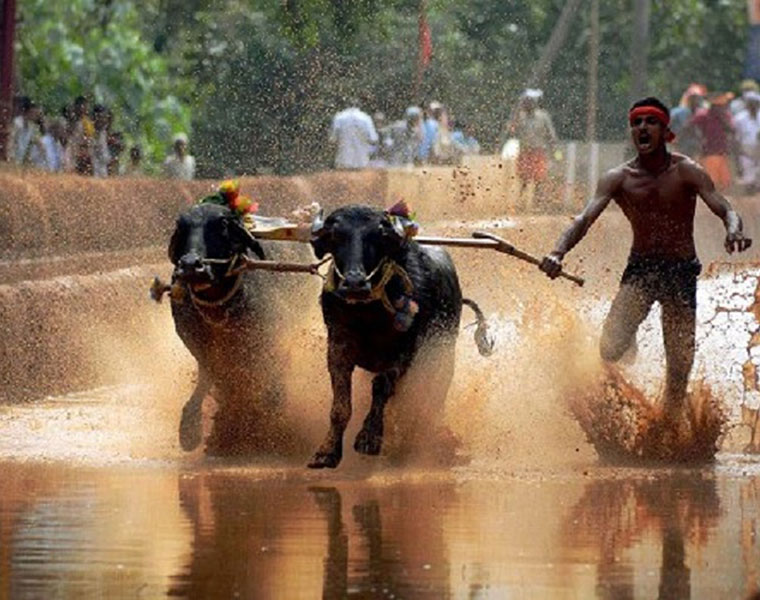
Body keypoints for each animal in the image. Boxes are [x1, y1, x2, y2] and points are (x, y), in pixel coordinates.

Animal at [168, 202, 288, 454]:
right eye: (180, 226)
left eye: (221, 225)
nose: (191, 266)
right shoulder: (196, 342)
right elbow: (214, 376)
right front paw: (195, 430)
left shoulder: (266, 337)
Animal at [308, 205, 492, 468]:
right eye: (335, 236)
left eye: (379, 236)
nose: (354, 283)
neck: (367, 314)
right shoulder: (337, 348)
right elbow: (340, 405)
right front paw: (326, 451)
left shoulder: (408, 351)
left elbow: (382, 386)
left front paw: (369, 437)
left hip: (444, 351)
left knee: (434, 395)